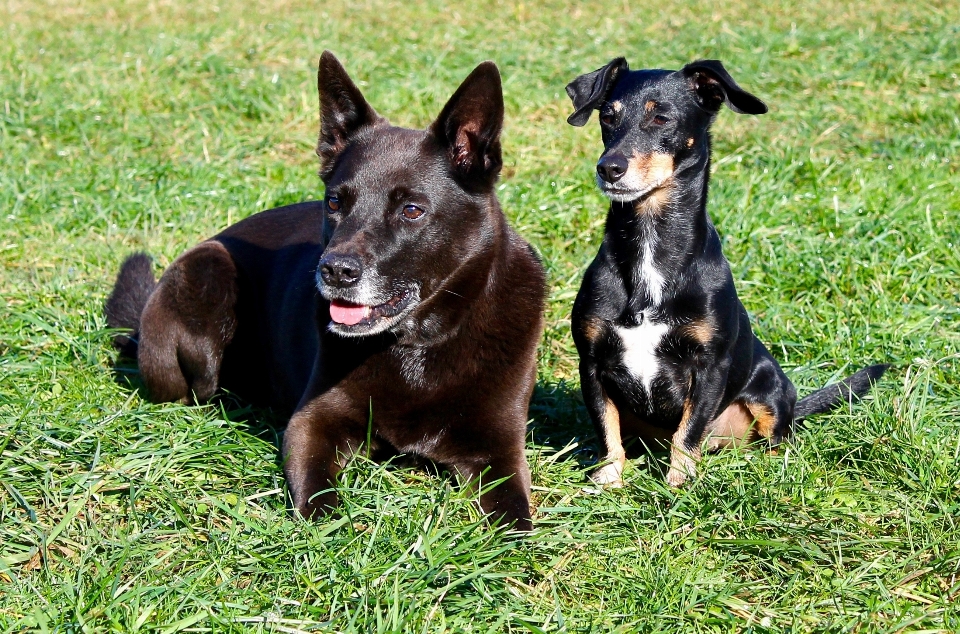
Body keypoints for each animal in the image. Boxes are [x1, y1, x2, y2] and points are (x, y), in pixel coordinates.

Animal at [106, 51, 548, 528]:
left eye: (411, 210)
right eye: (335, 202)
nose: (334, 271)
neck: (418, 344)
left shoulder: (500, 448)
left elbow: (516, 519)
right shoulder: (311, 423)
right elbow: (319, 504)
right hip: (208, 273)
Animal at [568, 58, 888, 484]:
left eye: (661, 118)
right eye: (607, 116)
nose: (609, 168)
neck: (651, 247)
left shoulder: (709, 367)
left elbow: (687, 433)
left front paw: (678, 485)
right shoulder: (592, 362)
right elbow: (608, 432)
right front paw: (608, 481)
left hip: (771, 390)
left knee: (778, 438)